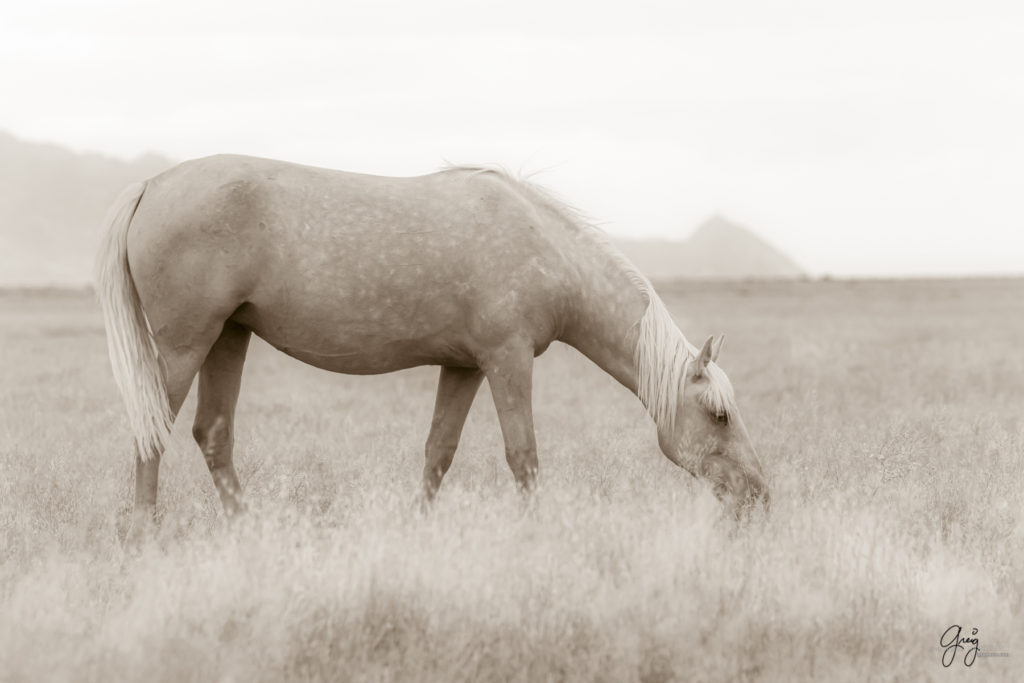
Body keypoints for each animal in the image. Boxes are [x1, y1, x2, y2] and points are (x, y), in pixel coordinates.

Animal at [96, 156, 770, 540]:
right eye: (719, 416)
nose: (759, 496)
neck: (543, 246)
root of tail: (152, 185)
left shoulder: (463, 367)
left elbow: (437, 454)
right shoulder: (506, 360)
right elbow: (523, 455)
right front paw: (539, 536)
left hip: (228, 338)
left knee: (213, 435)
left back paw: (249, 534)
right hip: (187, 344)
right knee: (154, 431)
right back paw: (144, 535)